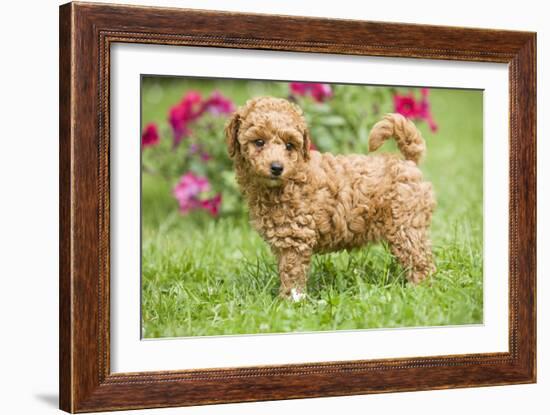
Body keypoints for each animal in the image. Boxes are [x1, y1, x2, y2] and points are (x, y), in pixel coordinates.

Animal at [226, 96, 438, 300]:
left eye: (289, 145)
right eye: (259, 142)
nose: (277, 167)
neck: (291, 178)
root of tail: (408, 162)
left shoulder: (295, 237)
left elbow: (292, 272)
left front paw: (289, 301)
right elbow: (285, 270)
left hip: (406, 225)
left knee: (420, 261)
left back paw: (418, 291)